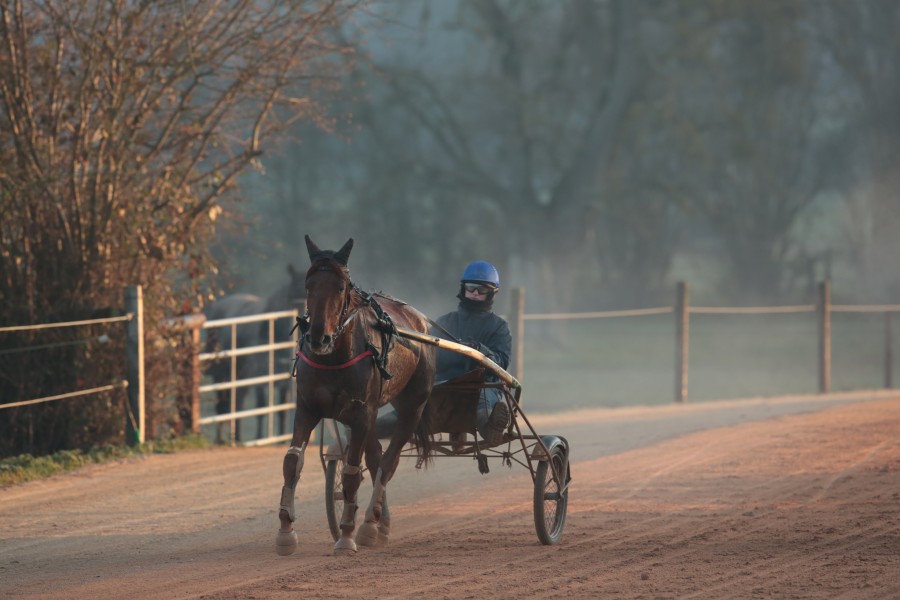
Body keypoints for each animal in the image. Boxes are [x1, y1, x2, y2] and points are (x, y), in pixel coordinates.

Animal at [202, 264, 304, 442]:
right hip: (222, 374)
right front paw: (259, 437)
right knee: (223, 405)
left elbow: (282, 411)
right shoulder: (260, 376)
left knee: (237, 402)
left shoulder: (284, 378)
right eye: (293, 294)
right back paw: (224, 439)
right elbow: (261, 407)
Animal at [278, 237, 440, 556]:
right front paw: (286, 531)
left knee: (388, 463)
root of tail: (420, 320)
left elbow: (352, 474)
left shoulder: (362, 413)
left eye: (341, 287)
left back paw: (368, 522)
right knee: (376, 459)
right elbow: (292, 462)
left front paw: (346, 535)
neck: (333, 357)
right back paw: (380, 523)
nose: (318, 338)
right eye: (308, 285)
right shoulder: (307, 409)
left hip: (411, 406)